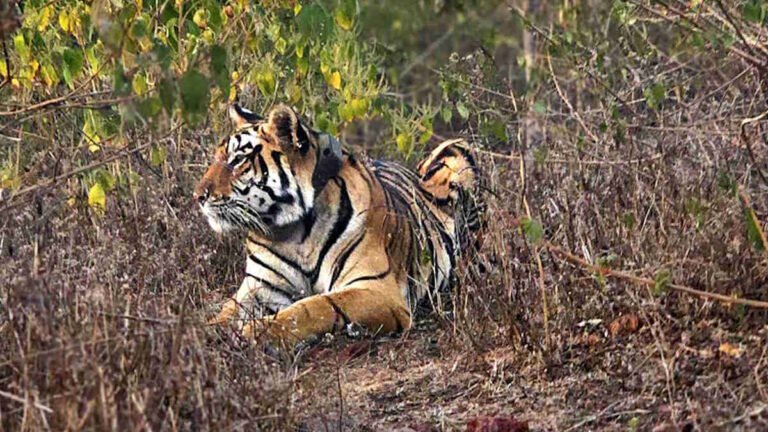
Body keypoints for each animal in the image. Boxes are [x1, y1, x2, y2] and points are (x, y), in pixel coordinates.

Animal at [194, 103, 485, 349]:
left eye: (238, 160)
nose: (198, 196)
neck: (293, 233)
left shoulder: (376, 289)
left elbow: (313, 307)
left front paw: (253, 333)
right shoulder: (259, 288)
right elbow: (225, 312)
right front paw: (202, 334)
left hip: (456, 149)